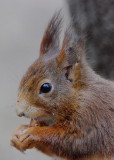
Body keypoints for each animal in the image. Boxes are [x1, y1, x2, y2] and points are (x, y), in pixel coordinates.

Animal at [10, 12, 114, 160]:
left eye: (45, 87)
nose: (20, 112)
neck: (78, 96)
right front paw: (18, 131)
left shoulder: (91, 116)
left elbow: (74, 143)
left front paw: (35, 132)